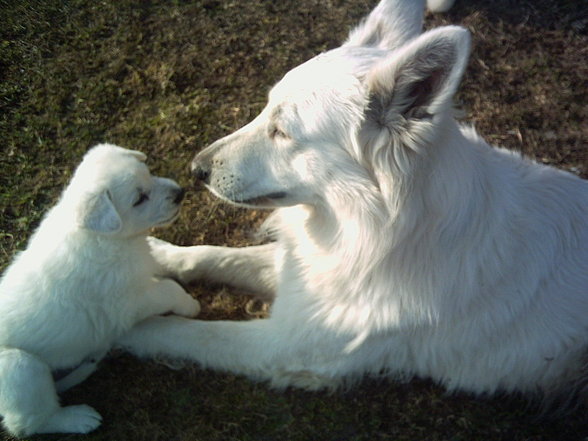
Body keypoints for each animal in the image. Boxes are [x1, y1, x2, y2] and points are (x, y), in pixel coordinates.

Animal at [0, 145, 200, 436]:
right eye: (139, 199)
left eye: (149, 172)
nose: (180, 192)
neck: (101, 237)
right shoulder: (129, 301)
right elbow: (168, 289)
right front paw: (190, 305)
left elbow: (157, 264)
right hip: (21, 369)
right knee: (28, 423)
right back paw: (77, 418)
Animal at [119, 0, 588, 402]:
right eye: (264, 111)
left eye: (282, 132)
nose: (195, 169)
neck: (378, 230)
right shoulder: (304, 275)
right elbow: (216, 255)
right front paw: (162, 255)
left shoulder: (288, 344)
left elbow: (189, 332)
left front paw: (120, 329)